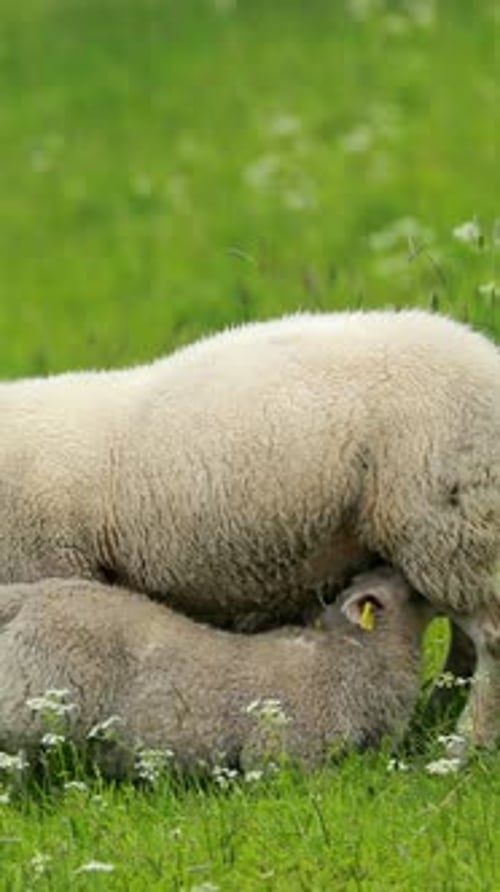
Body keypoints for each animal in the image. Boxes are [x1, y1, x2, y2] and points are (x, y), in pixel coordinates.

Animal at [1, 309, 500, 745]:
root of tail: (484, 355)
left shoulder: (51, 569)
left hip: (445, 525)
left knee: (490, 644)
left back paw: (462, 749)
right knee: (465, 643)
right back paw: (434, 721)